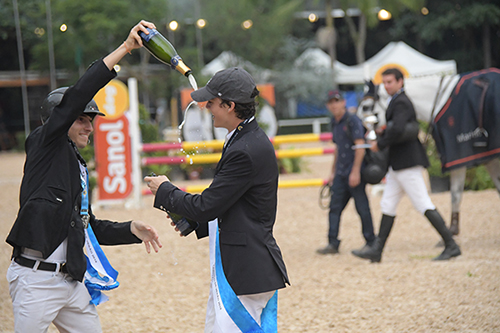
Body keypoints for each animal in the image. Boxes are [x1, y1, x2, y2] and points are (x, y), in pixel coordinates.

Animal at [358, 69, 500, 236]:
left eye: (366, 107)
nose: (366, 137)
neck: (441, 100)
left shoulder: (458, 158)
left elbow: (455, 194)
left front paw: (450, 232)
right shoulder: (489, 158)